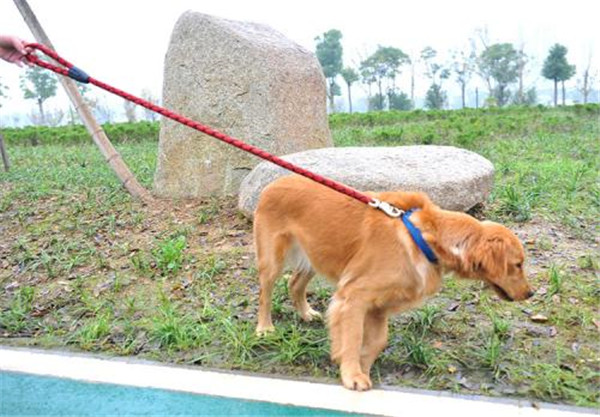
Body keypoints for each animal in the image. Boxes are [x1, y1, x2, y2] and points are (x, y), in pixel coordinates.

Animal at [251, 174, 532, 388]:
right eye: (518, 264)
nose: (530, 294)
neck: (425, 238)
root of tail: (275, 181)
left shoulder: (379, 306)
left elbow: (378, 341)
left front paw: (363, 365)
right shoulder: (353, 295)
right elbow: (353, 337)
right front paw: (352, 374)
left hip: (315, 255)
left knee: (294, 284)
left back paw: (306, 313)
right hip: (273, 259)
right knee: (265, 294)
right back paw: (265, 328)